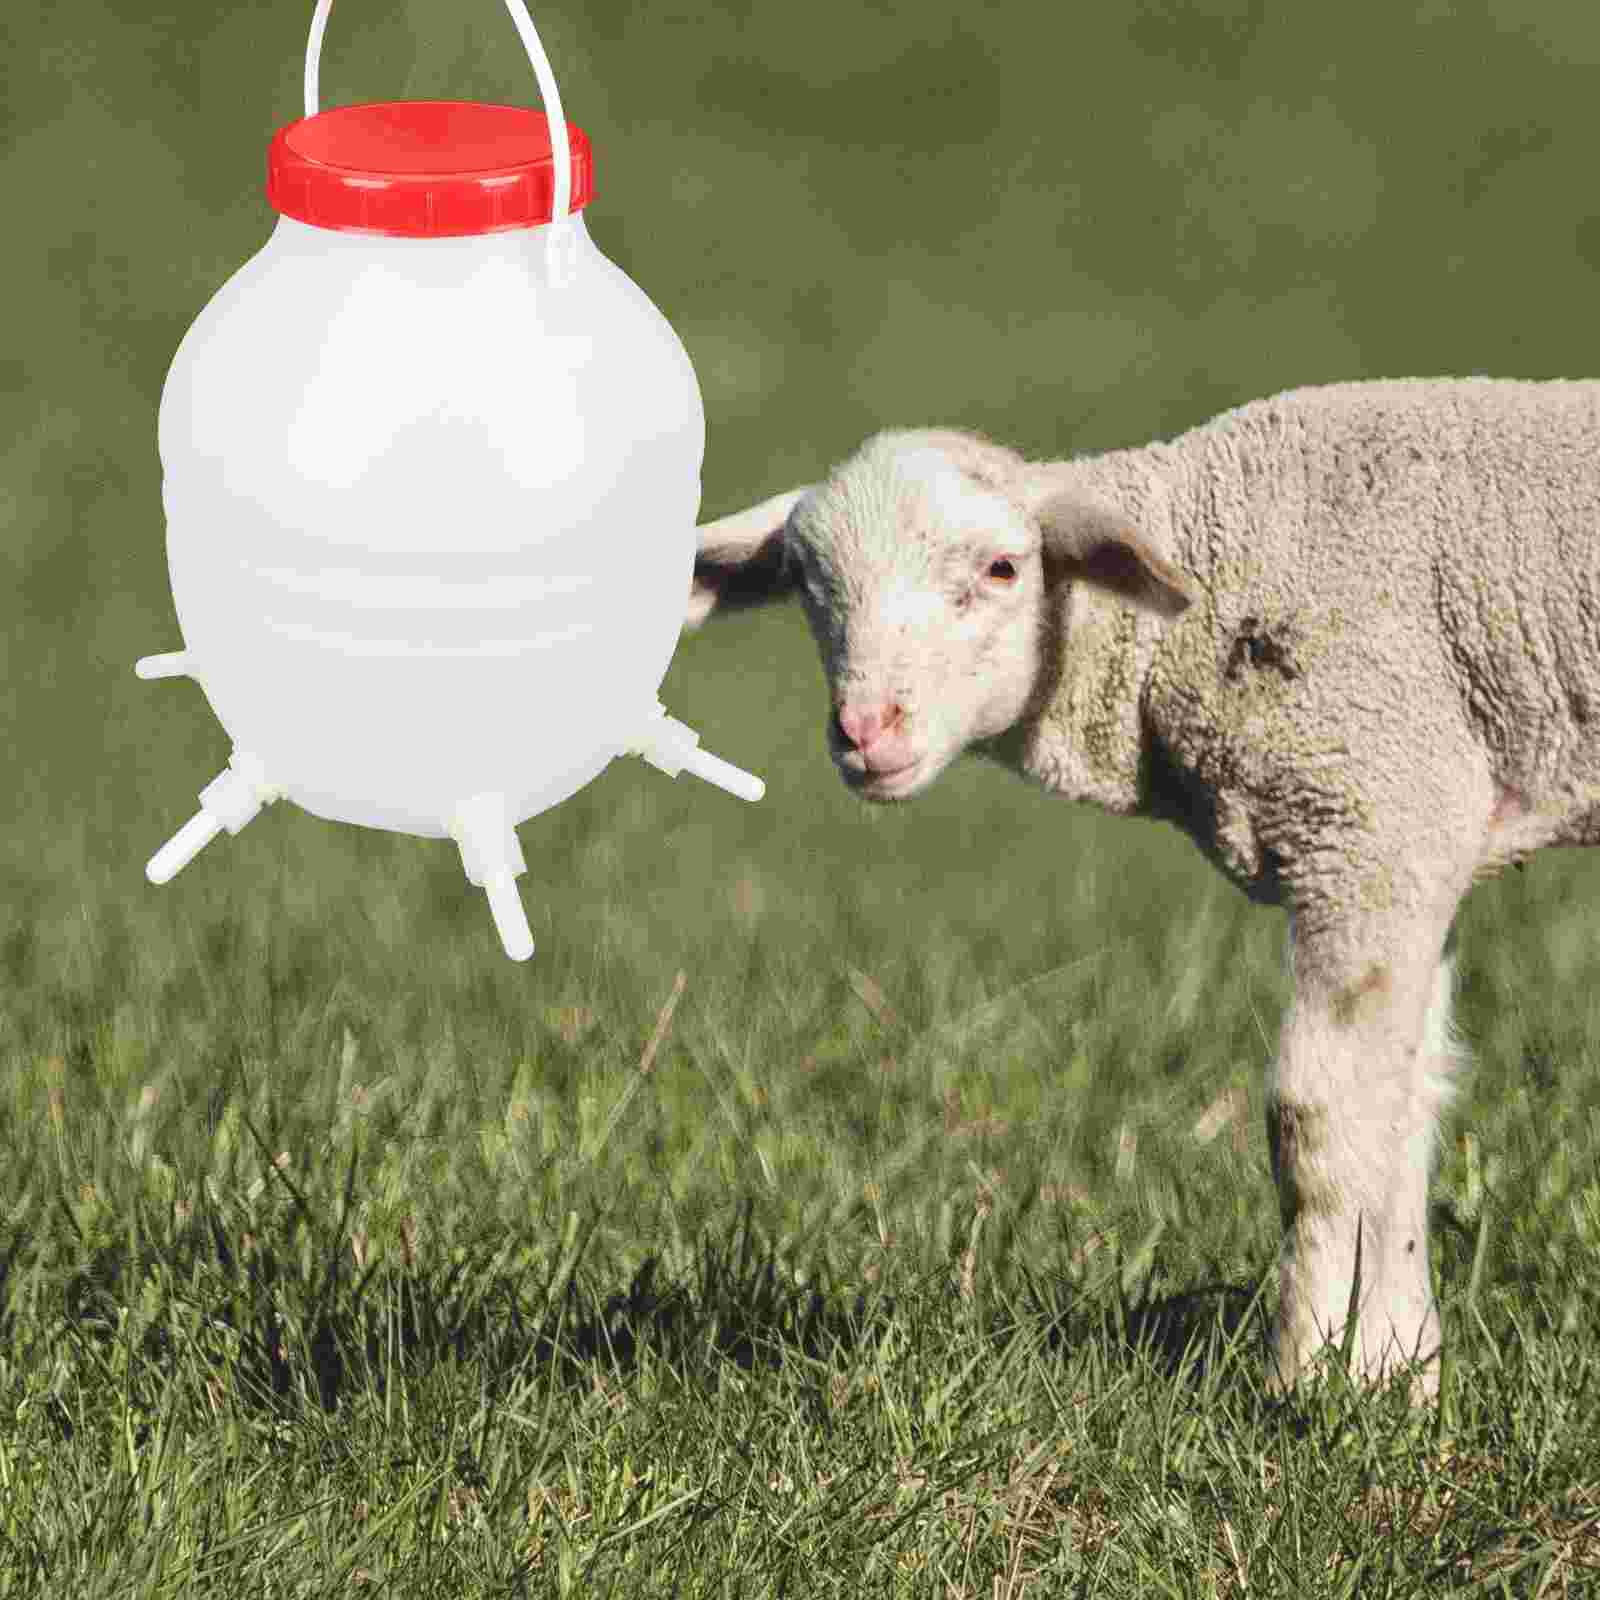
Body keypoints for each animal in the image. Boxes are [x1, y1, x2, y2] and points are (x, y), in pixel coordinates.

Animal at [685, 377, 1600, 1397]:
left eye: (1003, 569)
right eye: (810, 584)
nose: (865, 729)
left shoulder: (1369, 815)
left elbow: (1320, 1118)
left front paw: (1319, 1374)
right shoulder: (1413, 841)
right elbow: (1403, 1112)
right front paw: (1399, 1372)